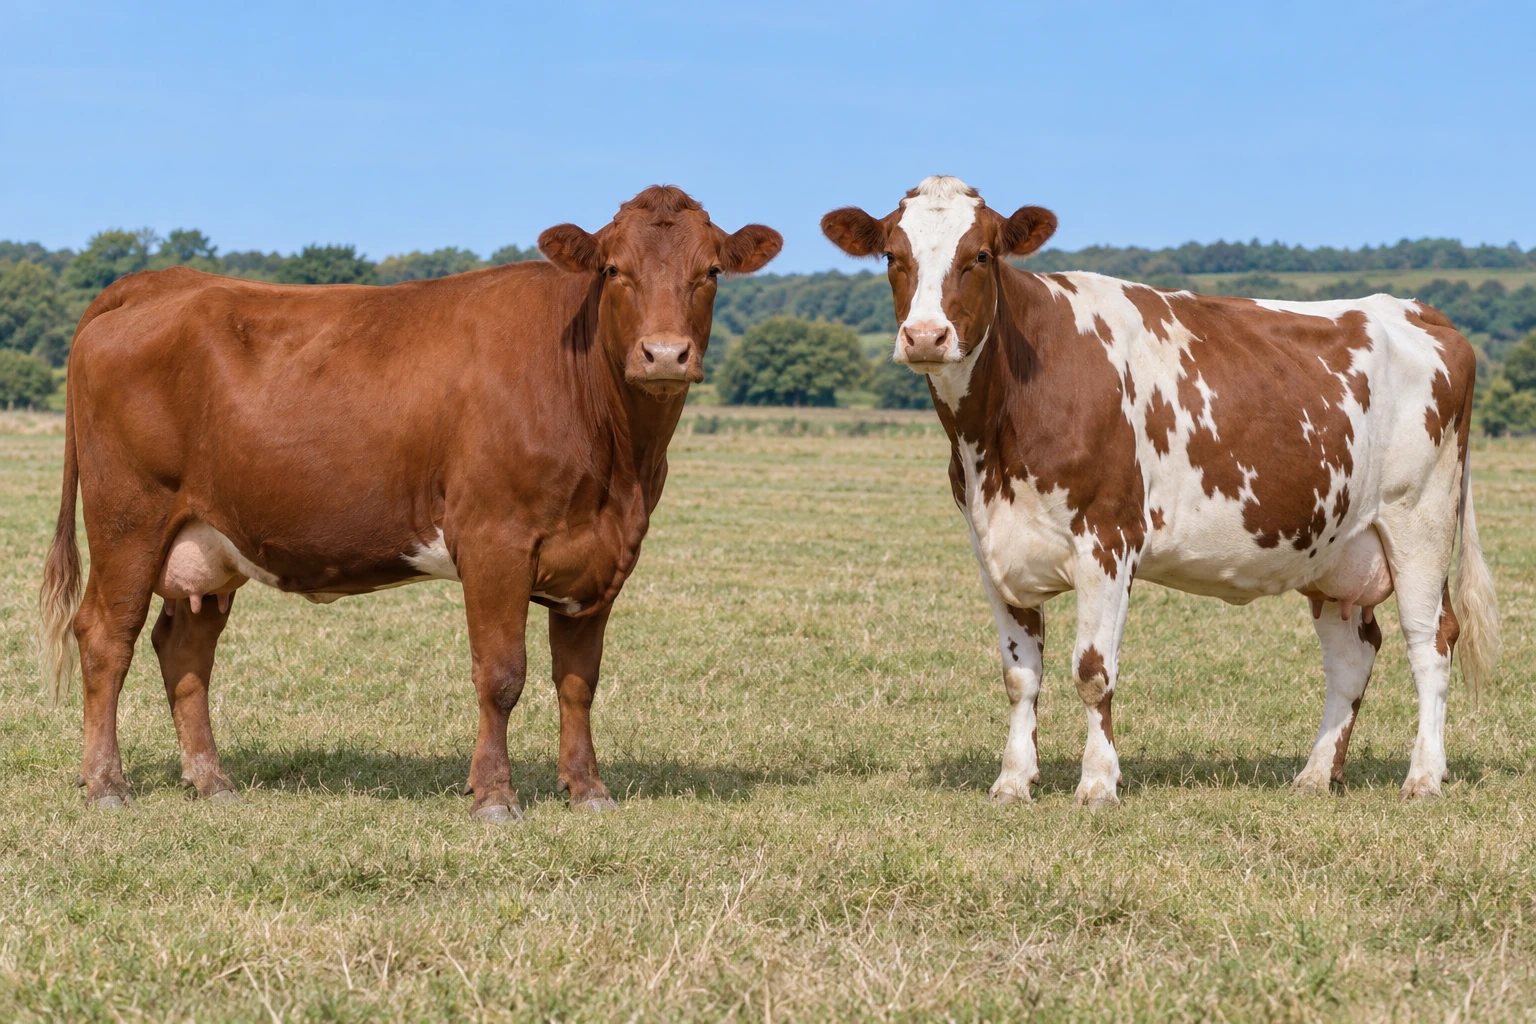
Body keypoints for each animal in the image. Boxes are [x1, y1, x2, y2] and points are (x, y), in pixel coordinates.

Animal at [39, 185, 782, 822]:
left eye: (710, 271)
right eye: (615, 269)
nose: (664, 355)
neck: (617, 464)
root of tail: (158, 281)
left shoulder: (600, 556)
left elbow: (578, 681)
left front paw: (589, 791)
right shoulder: (493, 539)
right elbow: (502, 675)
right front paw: (494, 798)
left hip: (209, 542)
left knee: (185, 648)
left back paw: (212, 781)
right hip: (128, 517)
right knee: (106, 635)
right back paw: (106, 784)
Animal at [822, 175, 1498, 807]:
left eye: (982, 255)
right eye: (892, 255)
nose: (925, 336)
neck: (994, 434)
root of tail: (1418, 310)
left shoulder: (1107, 540)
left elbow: (1092, 671)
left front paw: (1098, 783)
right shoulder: (993, 549)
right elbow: (1020, 677)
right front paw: (1013, 781)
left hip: (1419, 522)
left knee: (1430, 642)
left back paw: (1423, 776)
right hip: (1337, 548)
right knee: (1352, 656)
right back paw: (1314, 775)